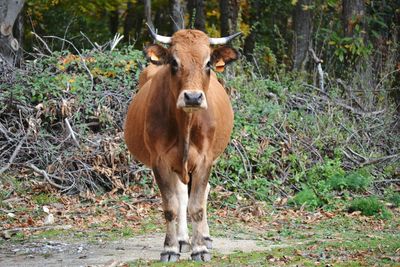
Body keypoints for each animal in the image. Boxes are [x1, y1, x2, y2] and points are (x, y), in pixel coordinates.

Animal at [123, 27, 239, 264]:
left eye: (207, 63)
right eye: (174, 63)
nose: (193, 97)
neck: (186, 124)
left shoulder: (205, 160)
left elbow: (197, 206)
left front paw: (200, 248)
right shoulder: (160, 162)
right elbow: (171, 207)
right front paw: (170, 248)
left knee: (201, 194)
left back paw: (203, 237)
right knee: (181, 195)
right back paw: (183, 239)